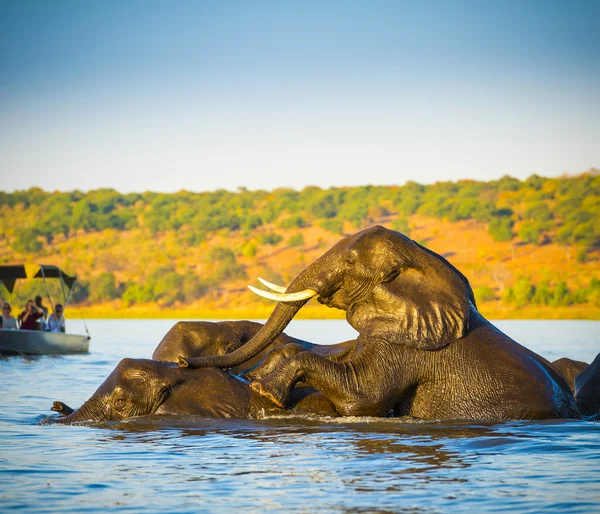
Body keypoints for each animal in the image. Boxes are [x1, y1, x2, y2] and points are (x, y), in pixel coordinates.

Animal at [179, 226, 580, 418]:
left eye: (350, 262)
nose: (182, 361)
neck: (420, 261)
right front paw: (255, 377)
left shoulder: (411, 347)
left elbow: (363, 397)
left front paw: (264, 391)